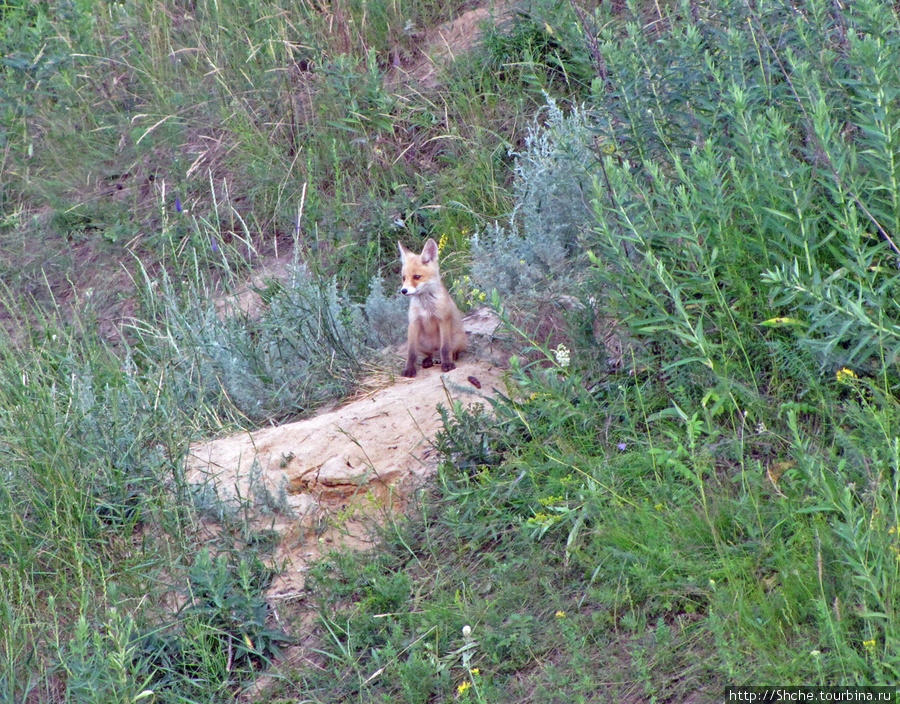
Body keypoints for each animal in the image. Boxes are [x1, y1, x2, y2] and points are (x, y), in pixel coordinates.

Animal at [402, 238, 472, 380]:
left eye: (416, 277)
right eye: (403, 278)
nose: (403, 290)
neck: (426, 306)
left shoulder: (443, 320)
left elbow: (445, 348)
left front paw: (447, 364)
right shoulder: (414, 323)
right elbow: (411, 353)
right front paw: (409, 369)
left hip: (457, 339)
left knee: (450, 351)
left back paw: (448, 358)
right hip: (421, 342)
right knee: (429, 354)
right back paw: (428, 361)